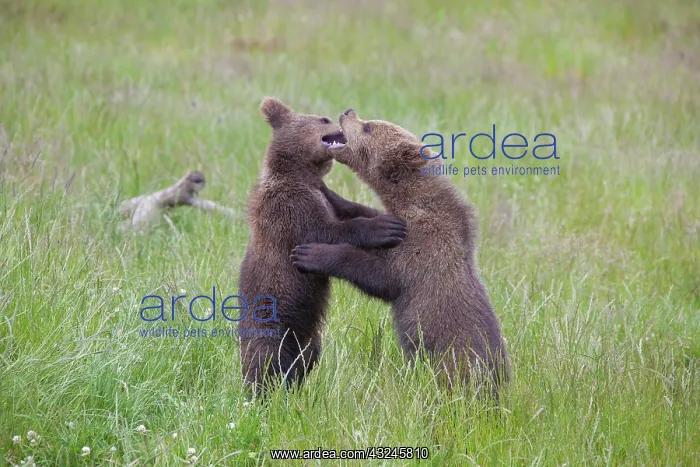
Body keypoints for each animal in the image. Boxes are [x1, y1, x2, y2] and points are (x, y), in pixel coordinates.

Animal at [238, 98, 407, 396]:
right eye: (323, 120)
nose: (341, 115)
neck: (298, 174)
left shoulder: (321, 196)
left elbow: (344, 209)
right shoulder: (289, 208)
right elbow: (326, 231)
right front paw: (385, 226)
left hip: (307, 334)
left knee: (306, 356)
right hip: (271, 317)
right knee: (264, 356)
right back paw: (259, 393)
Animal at [290, 108, 510, 394]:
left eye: (369, 127)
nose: (348, 112)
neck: (413, 203)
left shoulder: (424, 248)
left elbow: (380, 275)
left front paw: (311, 254)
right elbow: (370, 217)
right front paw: (330, 193)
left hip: (456, 363)